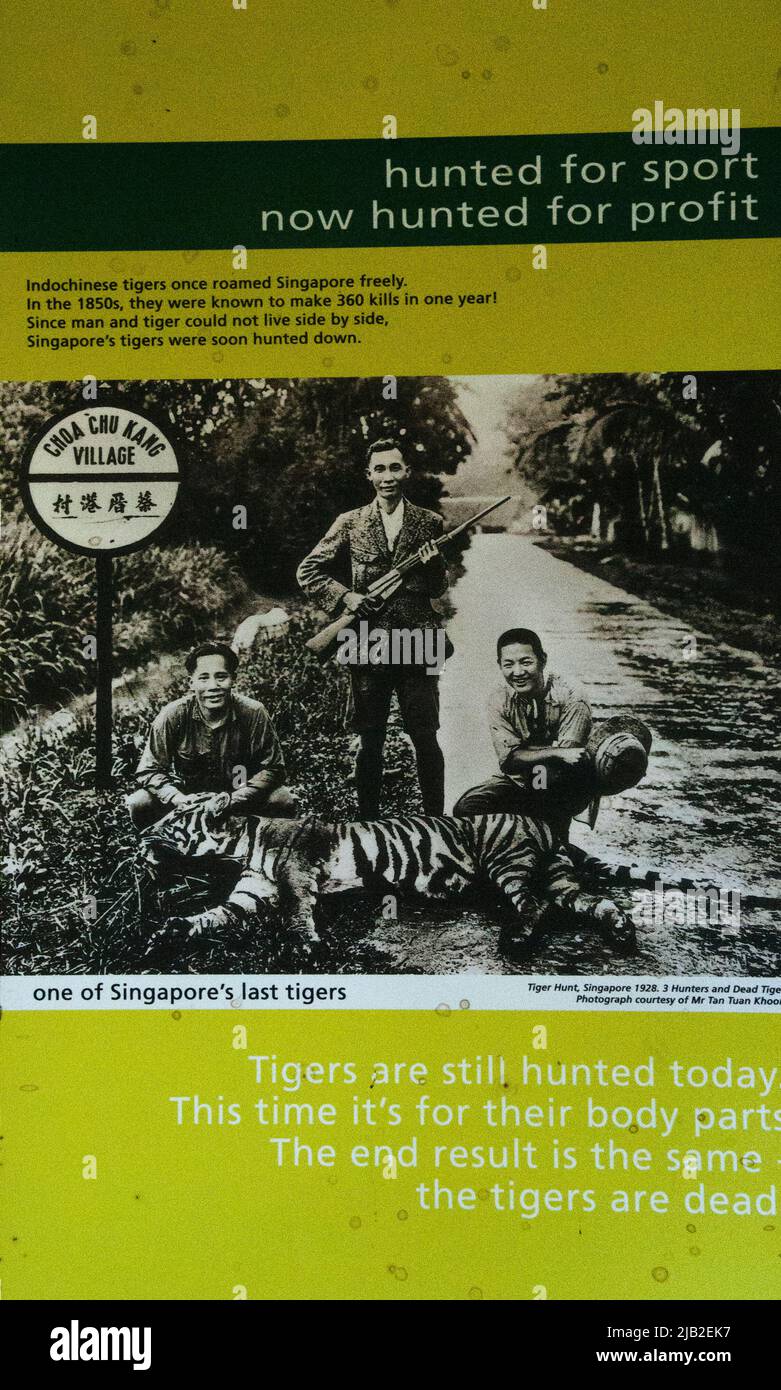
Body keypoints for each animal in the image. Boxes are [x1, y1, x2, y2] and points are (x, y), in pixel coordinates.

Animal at [139, 795, 636, 956]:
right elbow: (212, 915)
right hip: (557, 874)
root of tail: (546, 825)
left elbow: (296, 913)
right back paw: (624, 933)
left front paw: (309, 946)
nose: (140, 834)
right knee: (595, 902)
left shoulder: (298, 878)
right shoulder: (249, 894)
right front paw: (169, 931)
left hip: (507, 862)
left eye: (172, 820)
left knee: (536, 903)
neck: (243, 844)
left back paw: (517, 941)